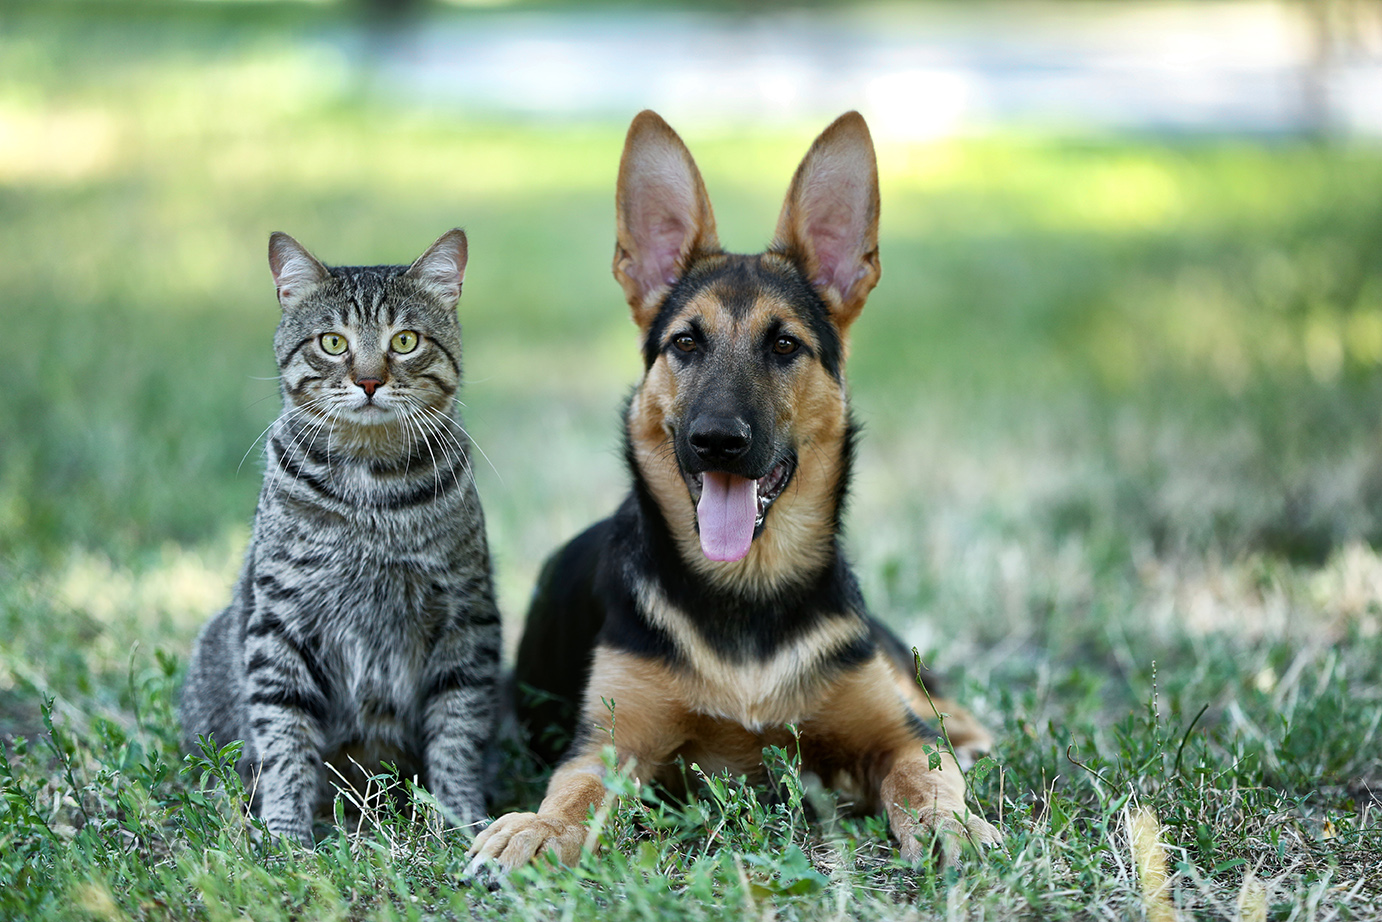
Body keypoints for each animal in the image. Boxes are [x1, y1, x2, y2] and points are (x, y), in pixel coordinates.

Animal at [181, 229, 500, 845]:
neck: (370, 493)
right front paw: (285, 834)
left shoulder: (466, 615)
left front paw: (462, 821)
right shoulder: (280, 621)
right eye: (332, 343)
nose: (369, 380)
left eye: (404, 341)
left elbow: (457, 731)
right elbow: (285, 737)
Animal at [469, 113, 1000, 873]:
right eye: (686, 342)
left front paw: (951, 825)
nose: (716, 441)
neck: (747, 591)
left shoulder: (892, 735)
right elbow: (572, 792)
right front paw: (537, 827)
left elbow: (924, 776)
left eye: (784, 345)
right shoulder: (609, 745)